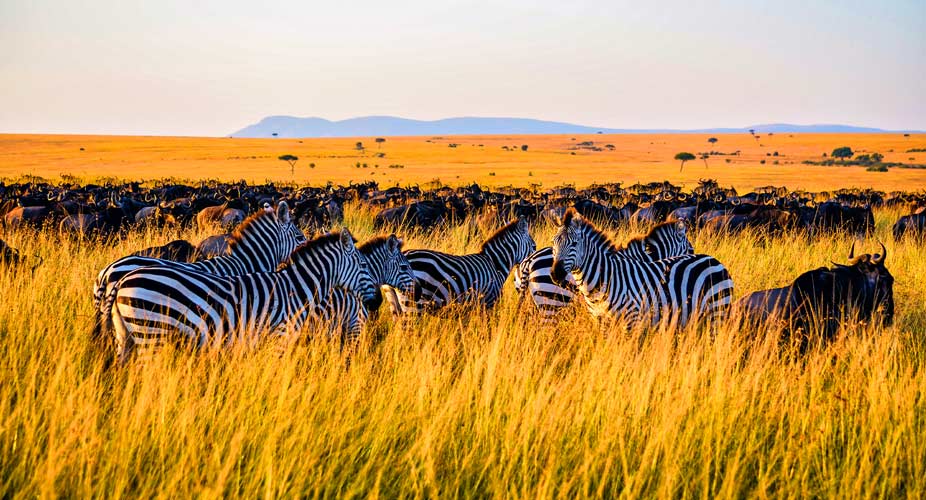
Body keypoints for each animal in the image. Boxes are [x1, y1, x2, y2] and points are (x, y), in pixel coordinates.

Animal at [106, 230, 374, 364]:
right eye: (363, 264)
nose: (376, 301)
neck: (296, 289)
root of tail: (120, 280)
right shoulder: (279, 338)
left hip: (126, 335)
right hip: (152, 333)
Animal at [552, 208, 732, 328]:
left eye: (575, 243)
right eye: (554, 243)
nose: (555, 274)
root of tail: (715, 260)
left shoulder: (633, 319)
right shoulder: (601, 320)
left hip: (717, 311)